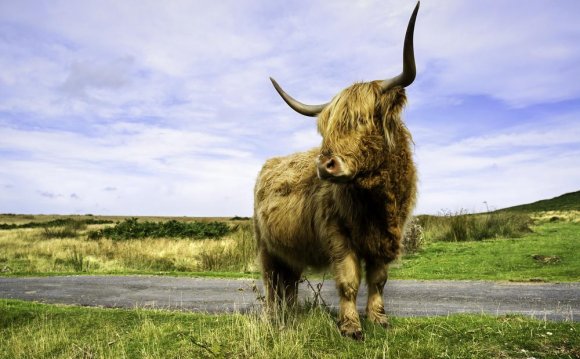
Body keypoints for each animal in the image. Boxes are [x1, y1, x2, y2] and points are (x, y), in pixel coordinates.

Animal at [251, 2, 420, 340]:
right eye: (325, 128)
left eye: (362, 120)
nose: (325, 165)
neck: (376, 203)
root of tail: (270, 162)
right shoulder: (338, 235)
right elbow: (349, 280)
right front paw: (351, 327)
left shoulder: (386, 238)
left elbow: (378, 279)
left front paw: (379, 319)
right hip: (267, 248)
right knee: (273, 283)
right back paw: (275, 318)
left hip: (289, 251)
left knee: (289, 284)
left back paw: (291, 315)